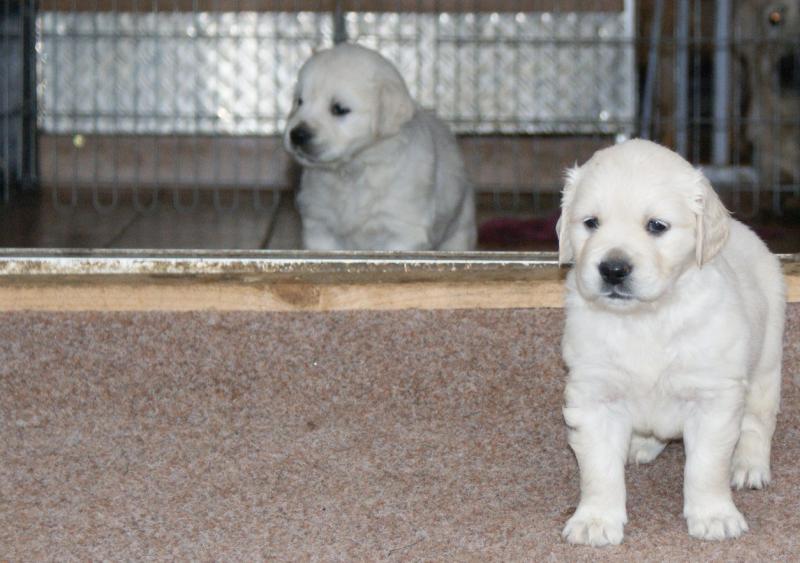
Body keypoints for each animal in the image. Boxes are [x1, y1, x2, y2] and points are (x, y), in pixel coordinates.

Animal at [283, 43, 476, 251]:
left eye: (339, 109)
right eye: (299, 101)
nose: (297, 135)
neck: (354, 170)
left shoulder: (403, 230)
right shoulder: (319, 226)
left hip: (460, 231)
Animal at [557, 140, 785, 546]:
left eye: (656, 226)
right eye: (591, 223)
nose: (613, 269)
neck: (646, 317)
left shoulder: (713, 396)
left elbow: (706, 467)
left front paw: (714, 516)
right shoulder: (593, 394)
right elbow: (598, 468)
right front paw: (595, 520)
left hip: (767, 358)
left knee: (758, 421)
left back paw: (748, 465)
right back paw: (641, 445)